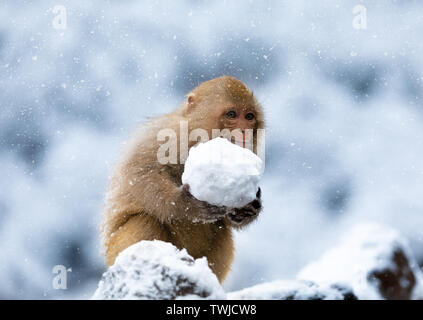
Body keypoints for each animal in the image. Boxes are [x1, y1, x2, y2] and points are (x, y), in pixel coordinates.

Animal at [100, 75, 264, 282]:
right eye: (232, 114)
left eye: (249, 117)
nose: (244, 131)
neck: (197, 139)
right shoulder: (161, 134)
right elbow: (140, 173)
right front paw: (186, 204)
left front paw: (247, 209)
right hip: (115, 252)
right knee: (144, 221)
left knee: (221, 232)